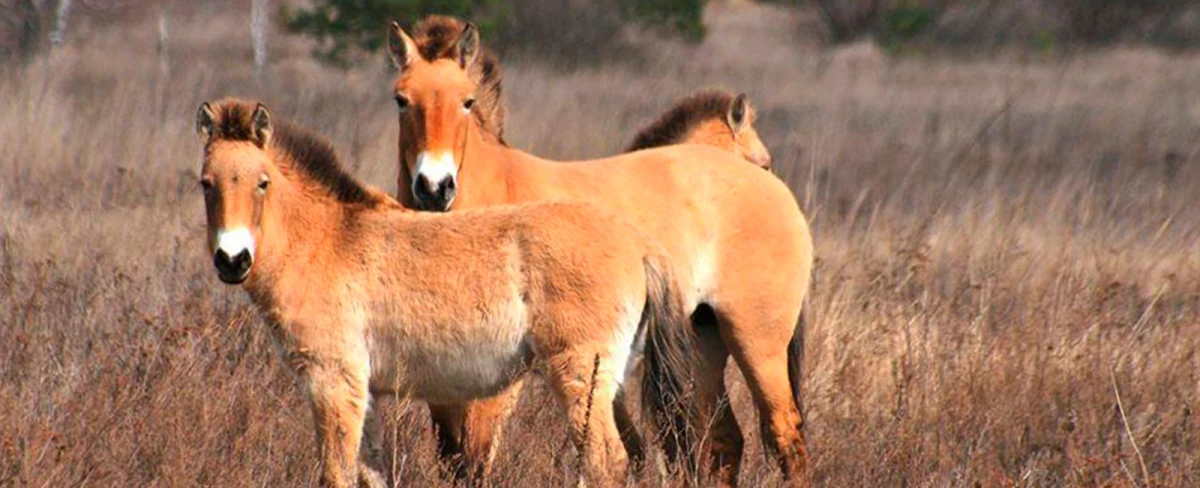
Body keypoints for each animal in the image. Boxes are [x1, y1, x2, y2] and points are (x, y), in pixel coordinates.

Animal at [194, 98, 697, 488]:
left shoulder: (332, 382)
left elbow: (336, 474)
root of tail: (640, 243)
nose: (232, 260)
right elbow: (371, 473)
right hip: (611, 381)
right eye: (206, 184)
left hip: (579, 375)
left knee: (605, 461)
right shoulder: (365, 390)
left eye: (262, 182)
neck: (326, 241)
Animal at [386, 18, 815, 488]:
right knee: (724, 443)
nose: (434, 187)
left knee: (784, 436)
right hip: (705, 340)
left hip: (758, 344)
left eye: (467, 102)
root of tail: (781, 197)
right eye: (401, 100)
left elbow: (477, 460)